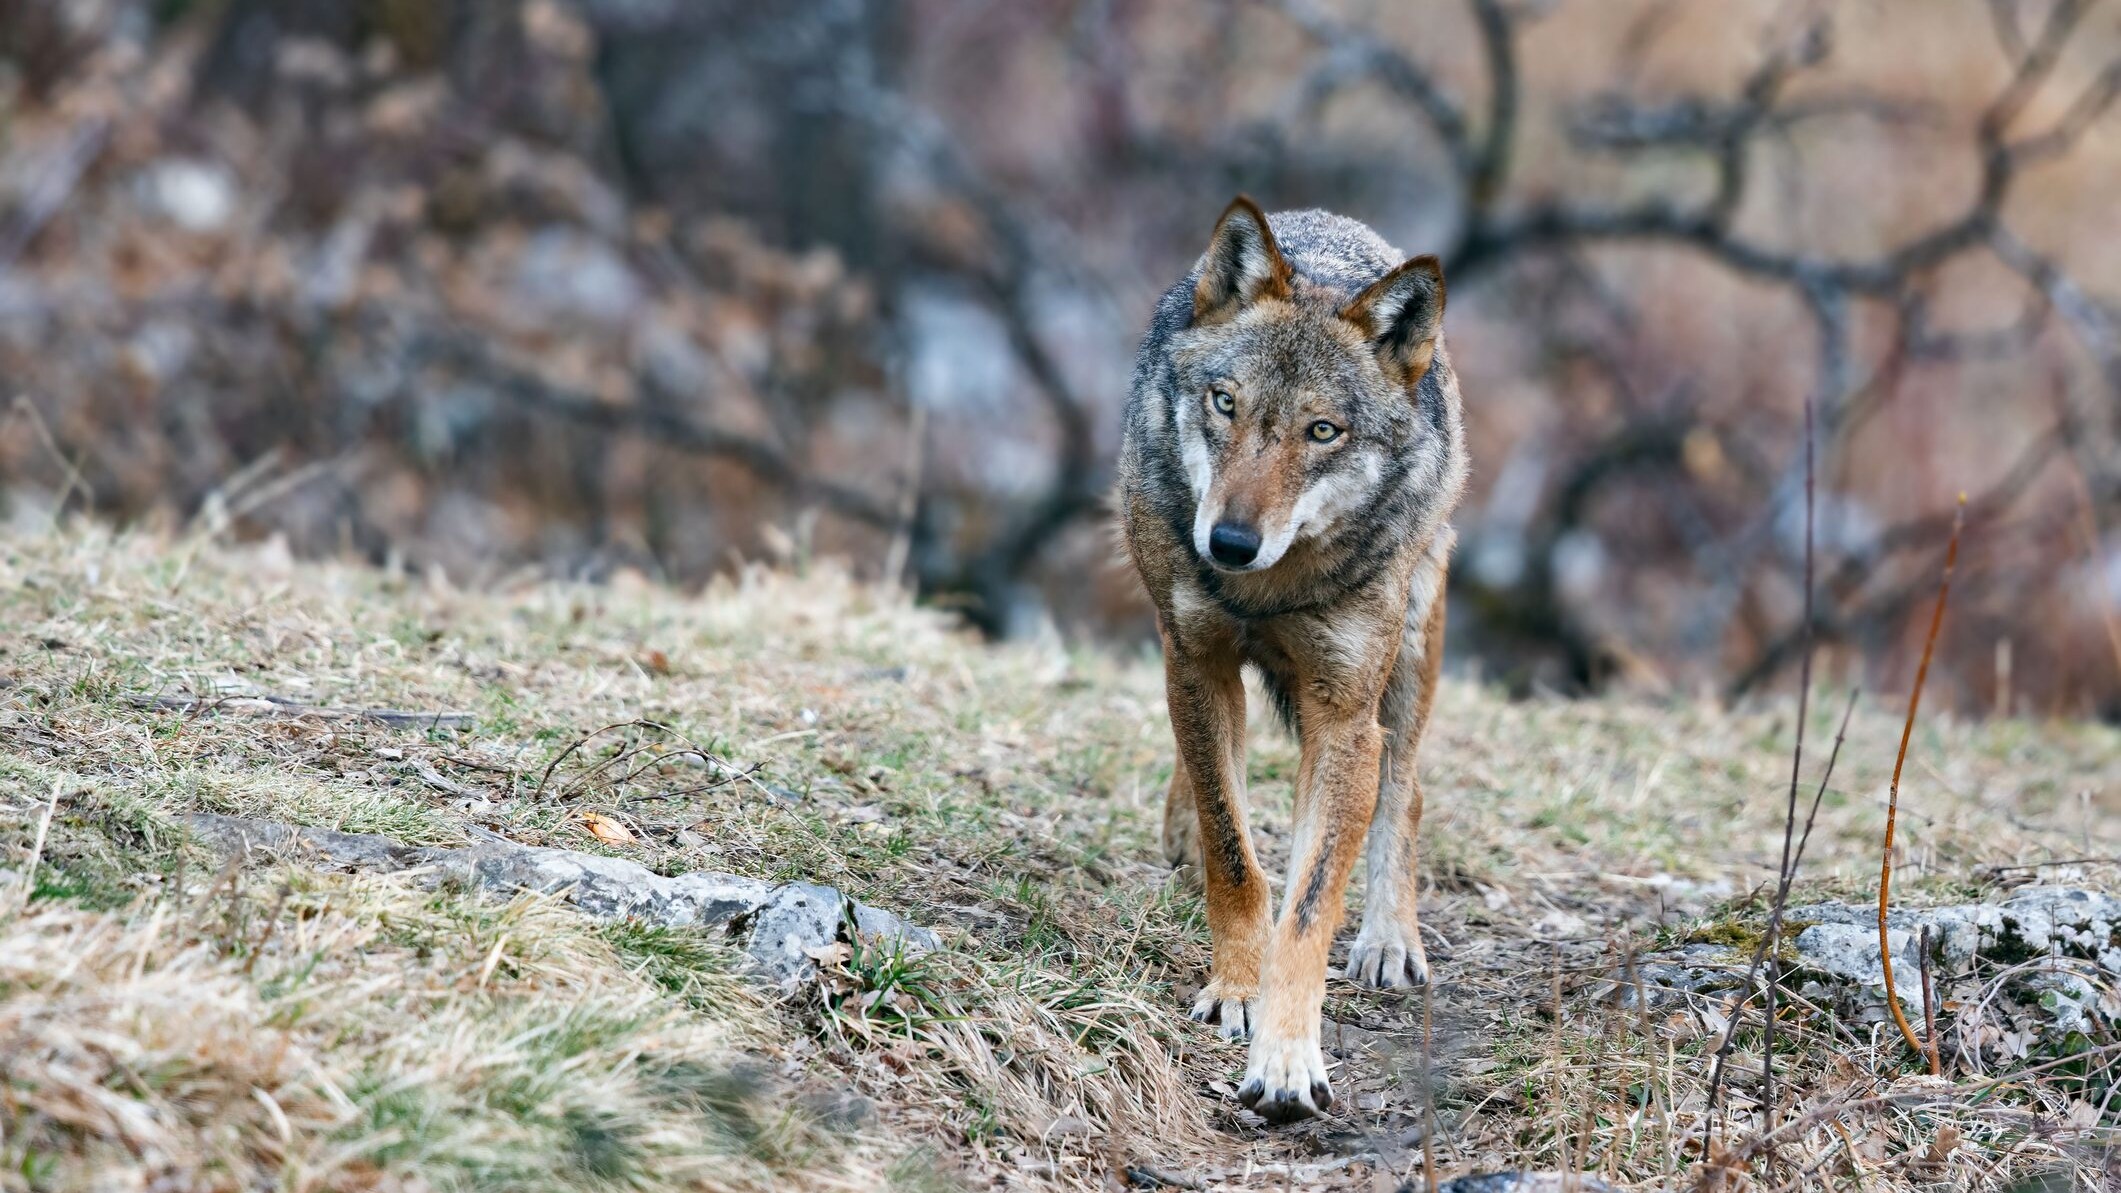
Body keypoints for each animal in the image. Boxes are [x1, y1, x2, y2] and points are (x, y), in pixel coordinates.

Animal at [1117, 197, 1467, 1122]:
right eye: (1225, 403)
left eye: (1321, 432)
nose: (1229, 543)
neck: (1267, 590)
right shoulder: (1196, 660)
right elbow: (1233, 851)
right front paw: (1236, 990)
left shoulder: (1343, 718)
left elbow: (1309, 906)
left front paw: (1285, 1057)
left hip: (1410, 648)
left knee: (1405, 789)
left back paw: (1388, 938)